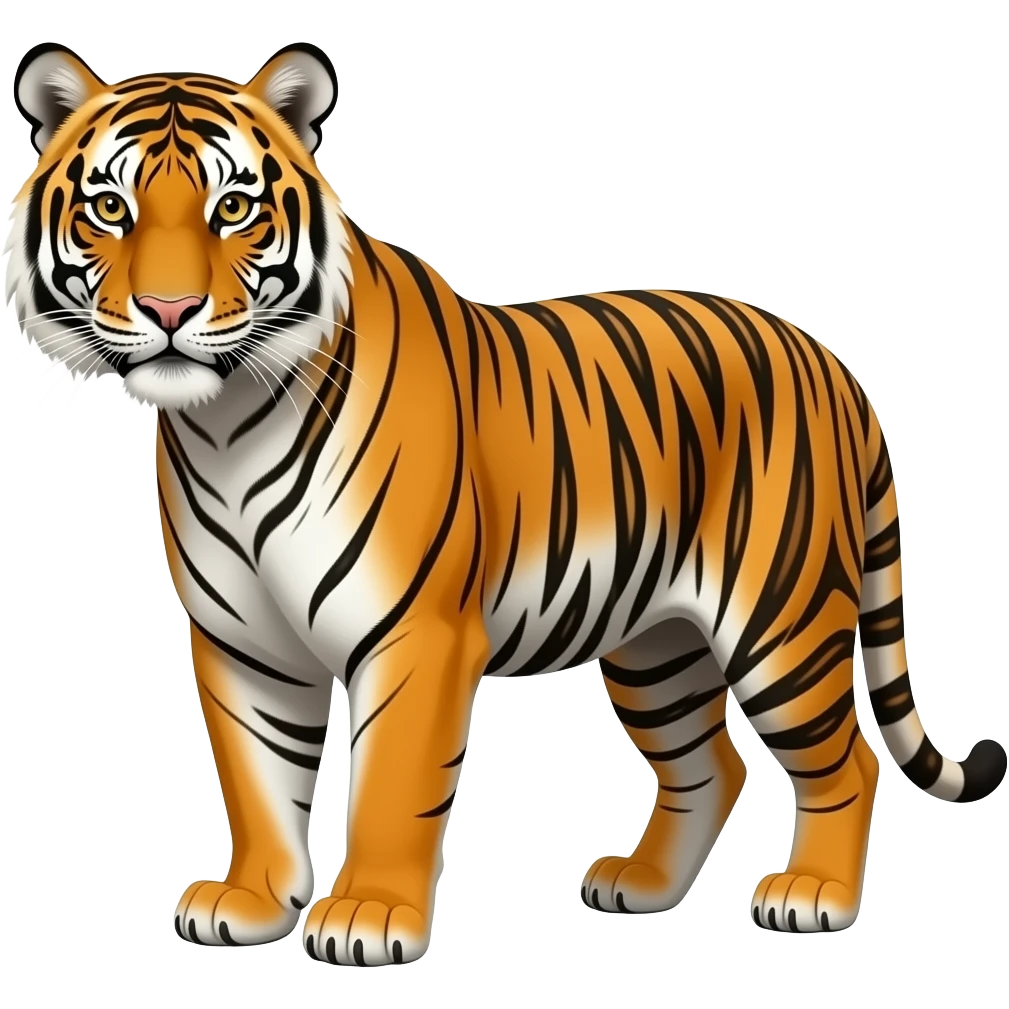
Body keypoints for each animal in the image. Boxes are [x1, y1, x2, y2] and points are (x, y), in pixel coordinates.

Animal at [6, 40, 1006, 965]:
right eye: (109, 207)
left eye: (234, 208)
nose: (169, 310)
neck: (226, 424)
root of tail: (830, 361)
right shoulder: (241, 640)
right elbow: (257, 777)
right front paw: (250, 901)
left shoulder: (414, 631)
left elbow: (391, 783)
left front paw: (368, 914)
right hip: (656, 643)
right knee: (710, 765)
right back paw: (641, 885)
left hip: (780, 622)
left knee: (847, 760)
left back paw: (813, 895)